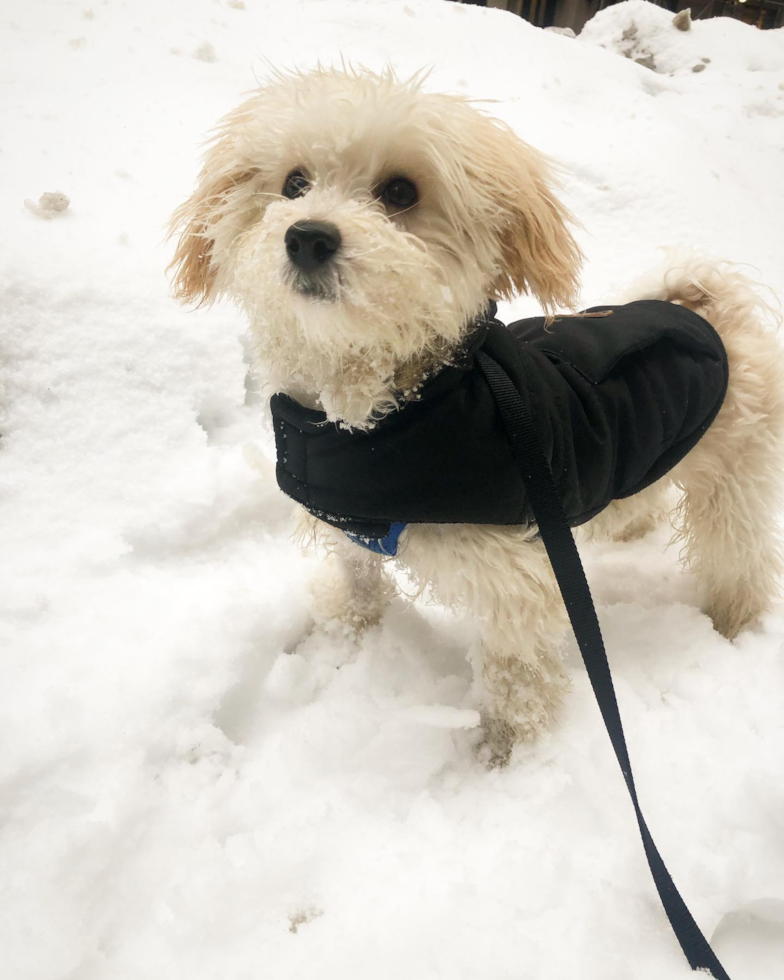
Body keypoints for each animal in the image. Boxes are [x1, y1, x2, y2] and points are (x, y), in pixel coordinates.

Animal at [170, 67, 784, 764]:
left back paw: (735, 624)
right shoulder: (352, 529)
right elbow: (358, 580)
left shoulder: (514, 582)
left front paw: (505, 755)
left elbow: (515, 676)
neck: (377, 413)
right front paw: (348, 633)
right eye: (294, 183)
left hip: (734, 482)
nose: (306, 236)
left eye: (400, 191)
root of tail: (712, 312)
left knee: (740, 559)